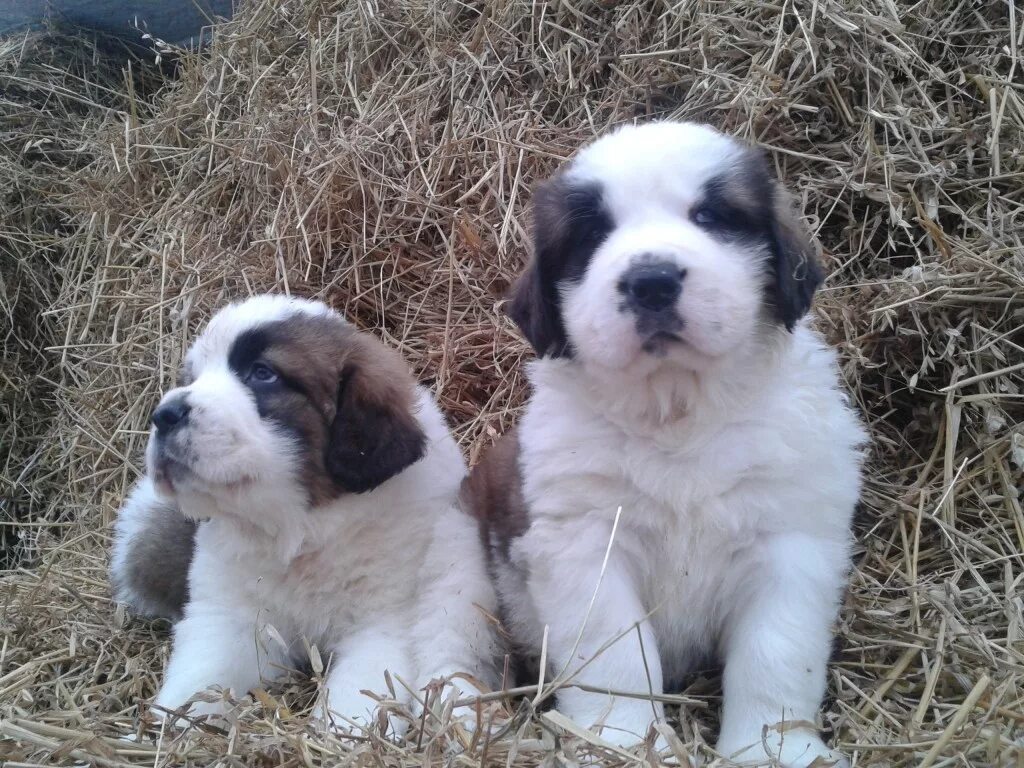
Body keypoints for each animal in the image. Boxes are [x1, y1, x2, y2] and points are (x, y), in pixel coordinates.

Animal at [110, 296, 497, 733]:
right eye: (191, 378)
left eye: (263, 374)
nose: (164, 414)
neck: (303, 531)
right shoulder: (228, 619)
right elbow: (198, 681)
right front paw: (168, 731)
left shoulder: (384, 627)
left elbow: (354, 702)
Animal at [468, 123, 868, 765]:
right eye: (593, 234)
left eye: (708, 216)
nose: (650, 281)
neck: (679, 412)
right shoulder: (587, 546)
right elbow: (617, 657)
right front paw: (620, 742)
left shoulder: (791, 543)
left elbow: (776, 654)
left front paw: (773, 750)